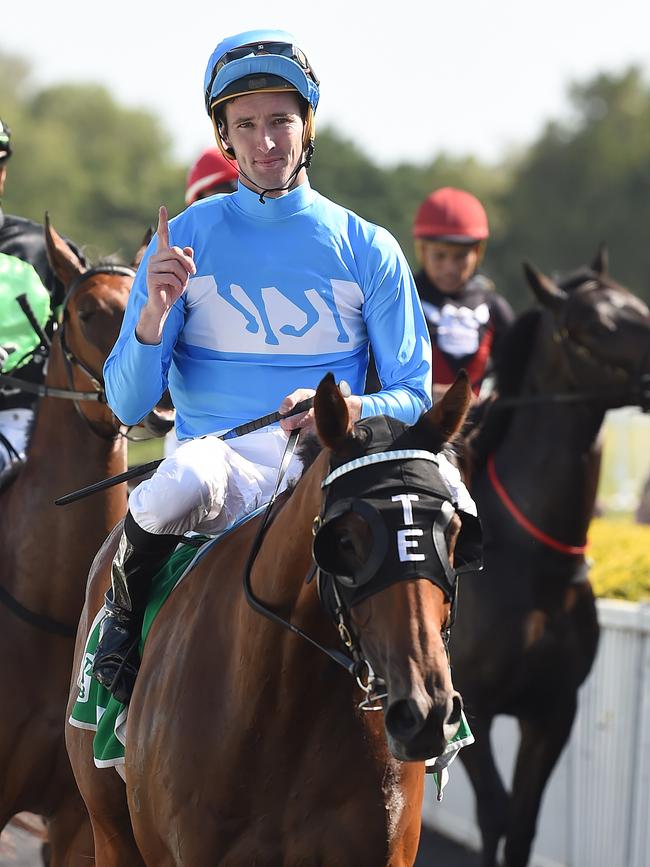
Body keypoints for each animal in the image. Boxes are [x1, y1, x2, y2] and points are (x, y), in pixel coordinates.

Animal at [450, 246, 648, 867]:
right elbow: (494, 813)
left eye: (641, 307)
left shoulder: (554, 711)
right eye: (596, 325)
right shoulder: (471, 707)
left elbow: (522, 823)